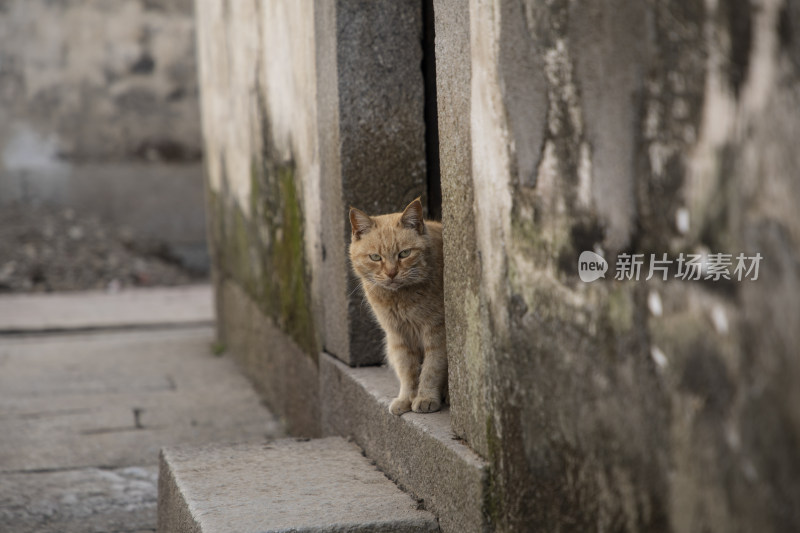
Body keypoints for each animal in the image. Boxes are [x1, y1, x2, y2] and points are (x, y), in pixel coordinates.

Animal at [350, 197, 450, 414]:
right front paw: (406, 399)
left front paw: (425, 398)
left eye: (404, 253)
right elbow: (407, 370)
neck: (400, 299)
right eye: (375, 257)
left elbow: (432, 368)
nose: (391, 273)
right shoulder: (398, 336)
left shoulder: (437, 332)